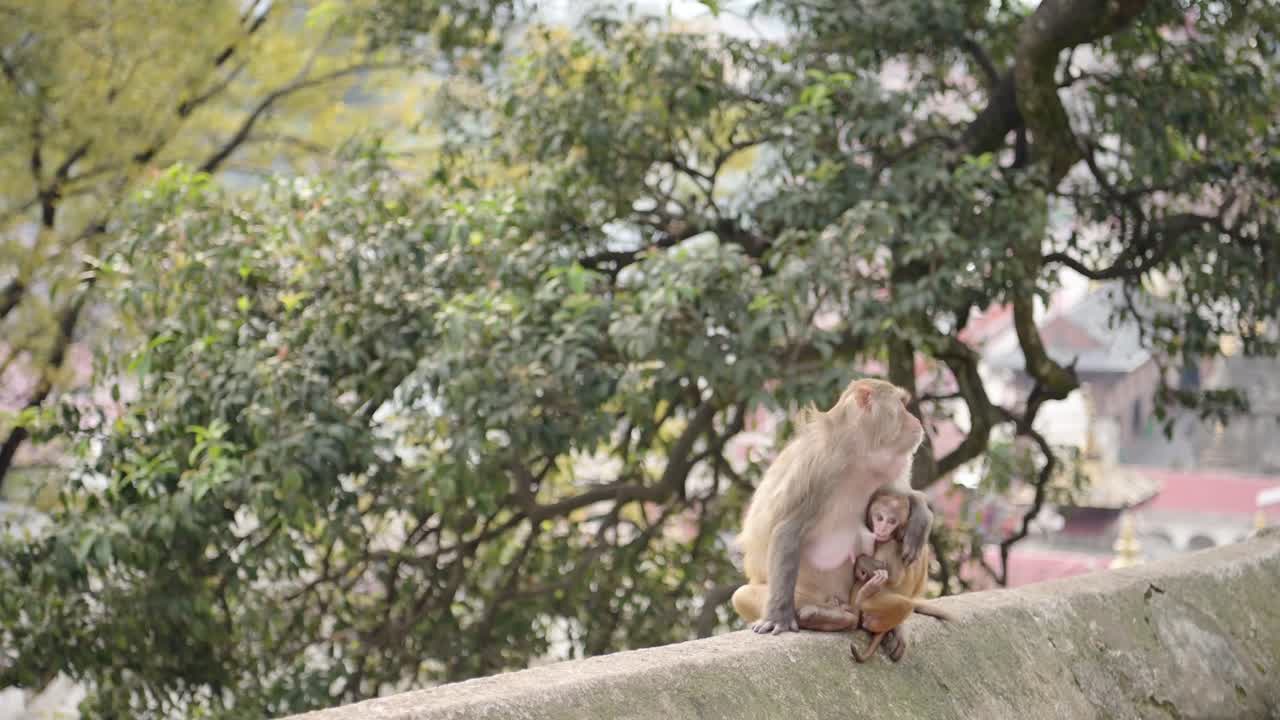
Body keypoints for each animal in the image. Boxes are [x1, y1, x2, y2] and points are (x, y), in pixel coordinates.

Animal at [730, 378, 932, 635]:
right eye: (902, 404)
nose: (915, 419)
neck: (860, 451)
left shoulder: (889, 466)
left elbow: (898, 496)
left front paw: (921, 514)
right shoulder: (820, 468)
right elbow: (788, 530)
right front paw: (778, 616)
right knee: (742, 595)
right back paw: (825, 617)